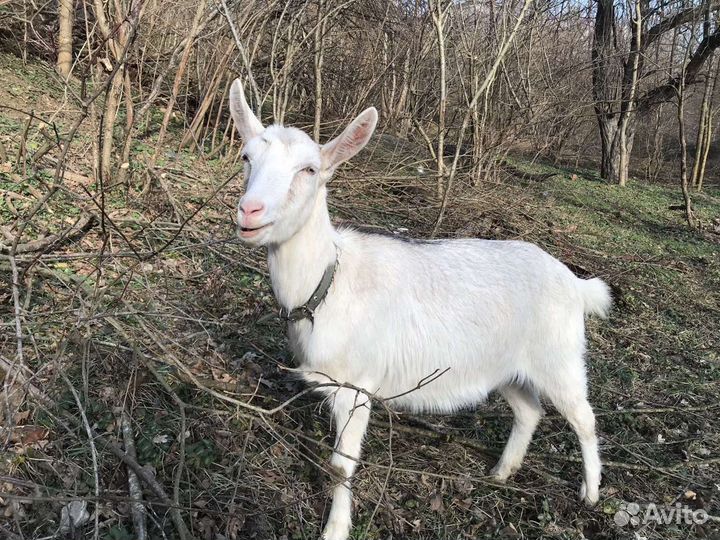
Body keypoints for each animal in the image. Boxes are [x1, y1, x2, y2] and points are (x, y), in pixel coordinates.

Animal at [228, 79, 612, 540]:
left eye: (309, 170)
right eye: (247, 157)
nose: (250, 212)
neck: (329, 282)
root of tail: (576, 283)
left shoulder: (357, 386)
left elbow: (341, 466)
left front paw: (335, 529)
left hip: (560, 356)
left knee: (584, 417)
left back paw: (590, 492)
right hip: (507, 365)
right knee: (529, 410)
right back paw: (502, 472)